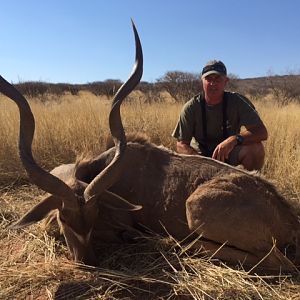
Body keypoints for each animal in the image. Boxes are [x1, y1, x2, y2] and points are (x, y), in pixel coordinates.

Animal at [2, 22, 300, 274]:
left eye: (95, 214)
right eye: (65, 218)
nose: (88, 262)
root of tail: (287, 217)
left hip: (196, 208)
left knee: (278, 261)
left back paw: (172, 244)